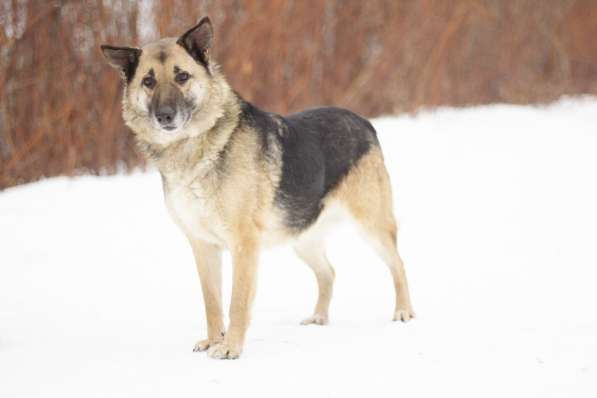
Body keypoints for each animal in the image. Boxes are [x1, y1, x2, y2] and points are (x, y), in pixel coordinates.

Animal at [101, 17, 414, 360]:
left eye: (182, 76)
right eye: (148, 81)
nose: (165, 116)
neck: (196, 148)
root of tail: (363, 122)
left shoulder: (244, 245)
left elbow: (237, 303)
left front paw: (230, 347)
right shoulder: (203, 246)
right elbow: (212, 302)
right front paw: (213, 340)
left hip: (371, 226)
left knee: (398, 264)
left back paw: (403, 311)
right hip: (303, 238)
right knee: (328, 273)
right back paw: (319, 317)